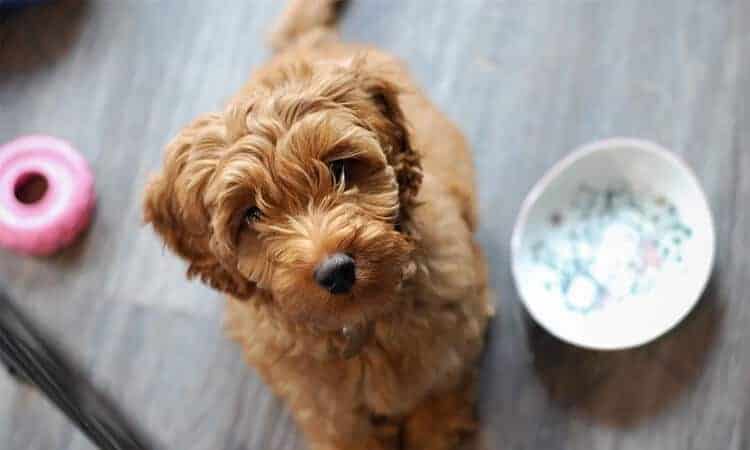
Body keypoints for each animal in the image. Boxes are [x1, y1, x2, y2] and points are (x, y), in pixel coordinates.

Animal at [142, 1, 494, 448]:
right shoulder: (318, 400)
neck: (362, 325)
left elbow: (439, 385)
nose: (337, 271)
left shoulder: (455, 327)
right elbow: (346, 430)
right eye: (251, 214)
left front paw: (435, 428)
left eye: (339, 168)